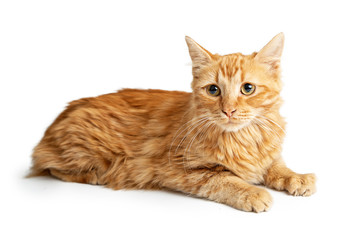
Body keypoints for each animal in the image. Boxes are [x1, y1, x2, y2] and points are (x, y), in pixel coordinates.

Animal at [28, 33, 316, 212]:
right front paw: (252, 192)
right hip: (82, 152)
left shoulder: (268, 155)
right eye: (214, 90)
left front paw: (297, 178)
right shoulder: (181, 170)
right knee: (52, 168)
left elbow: (277, 167)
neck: (242, 139)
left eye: (247, 88)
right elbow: (225, 180)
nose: (229, 111)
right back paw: (95, 176)